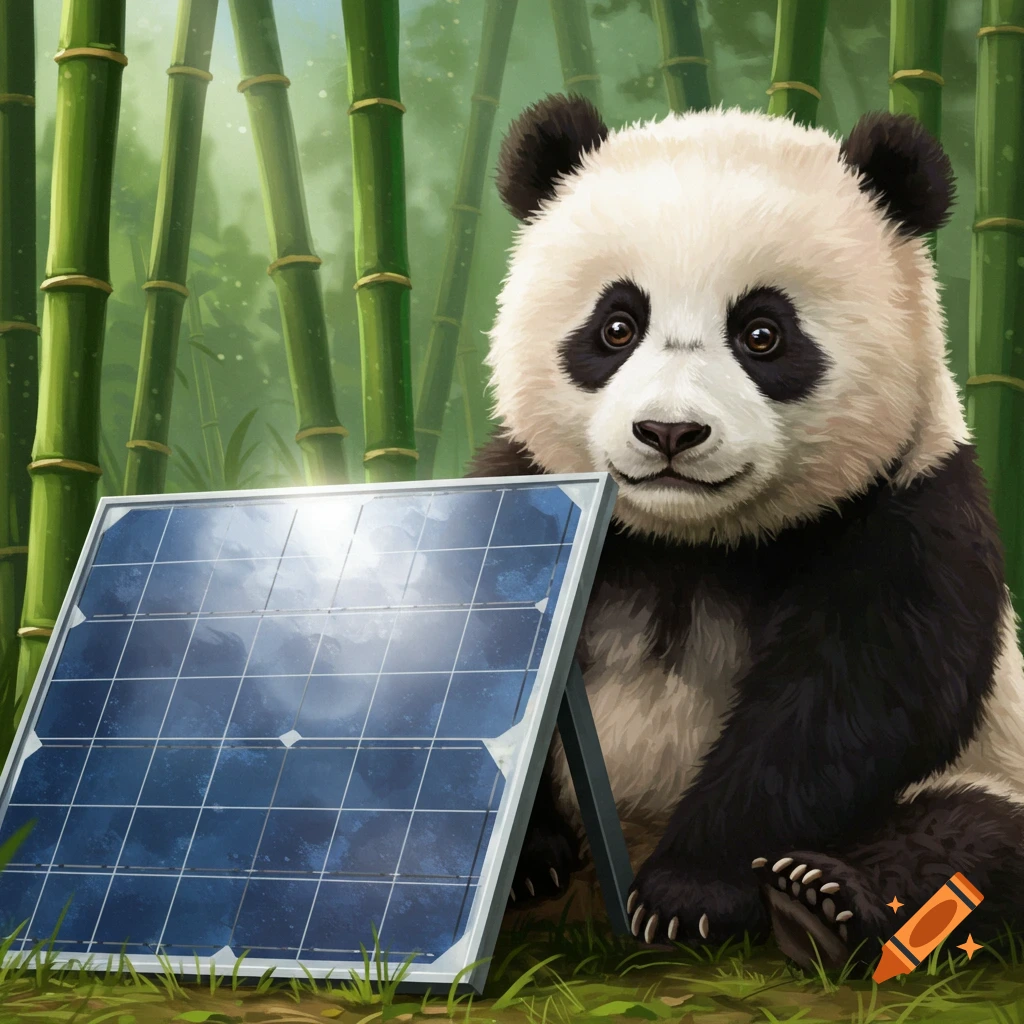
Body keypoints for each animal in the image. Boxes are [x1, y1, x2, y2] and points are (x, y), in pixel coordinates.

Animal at [466, 93, 1024, 970]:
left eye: (763, 333)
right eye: (617, 326)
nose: (669, 432)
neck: (689, 543)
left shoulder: (908, 508)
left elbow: (852, 696)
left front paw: (687, 895)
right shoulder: (533, 493)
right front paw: (518, 854)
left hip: (995, 767)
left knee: (972, 837)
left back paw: (817, 900)